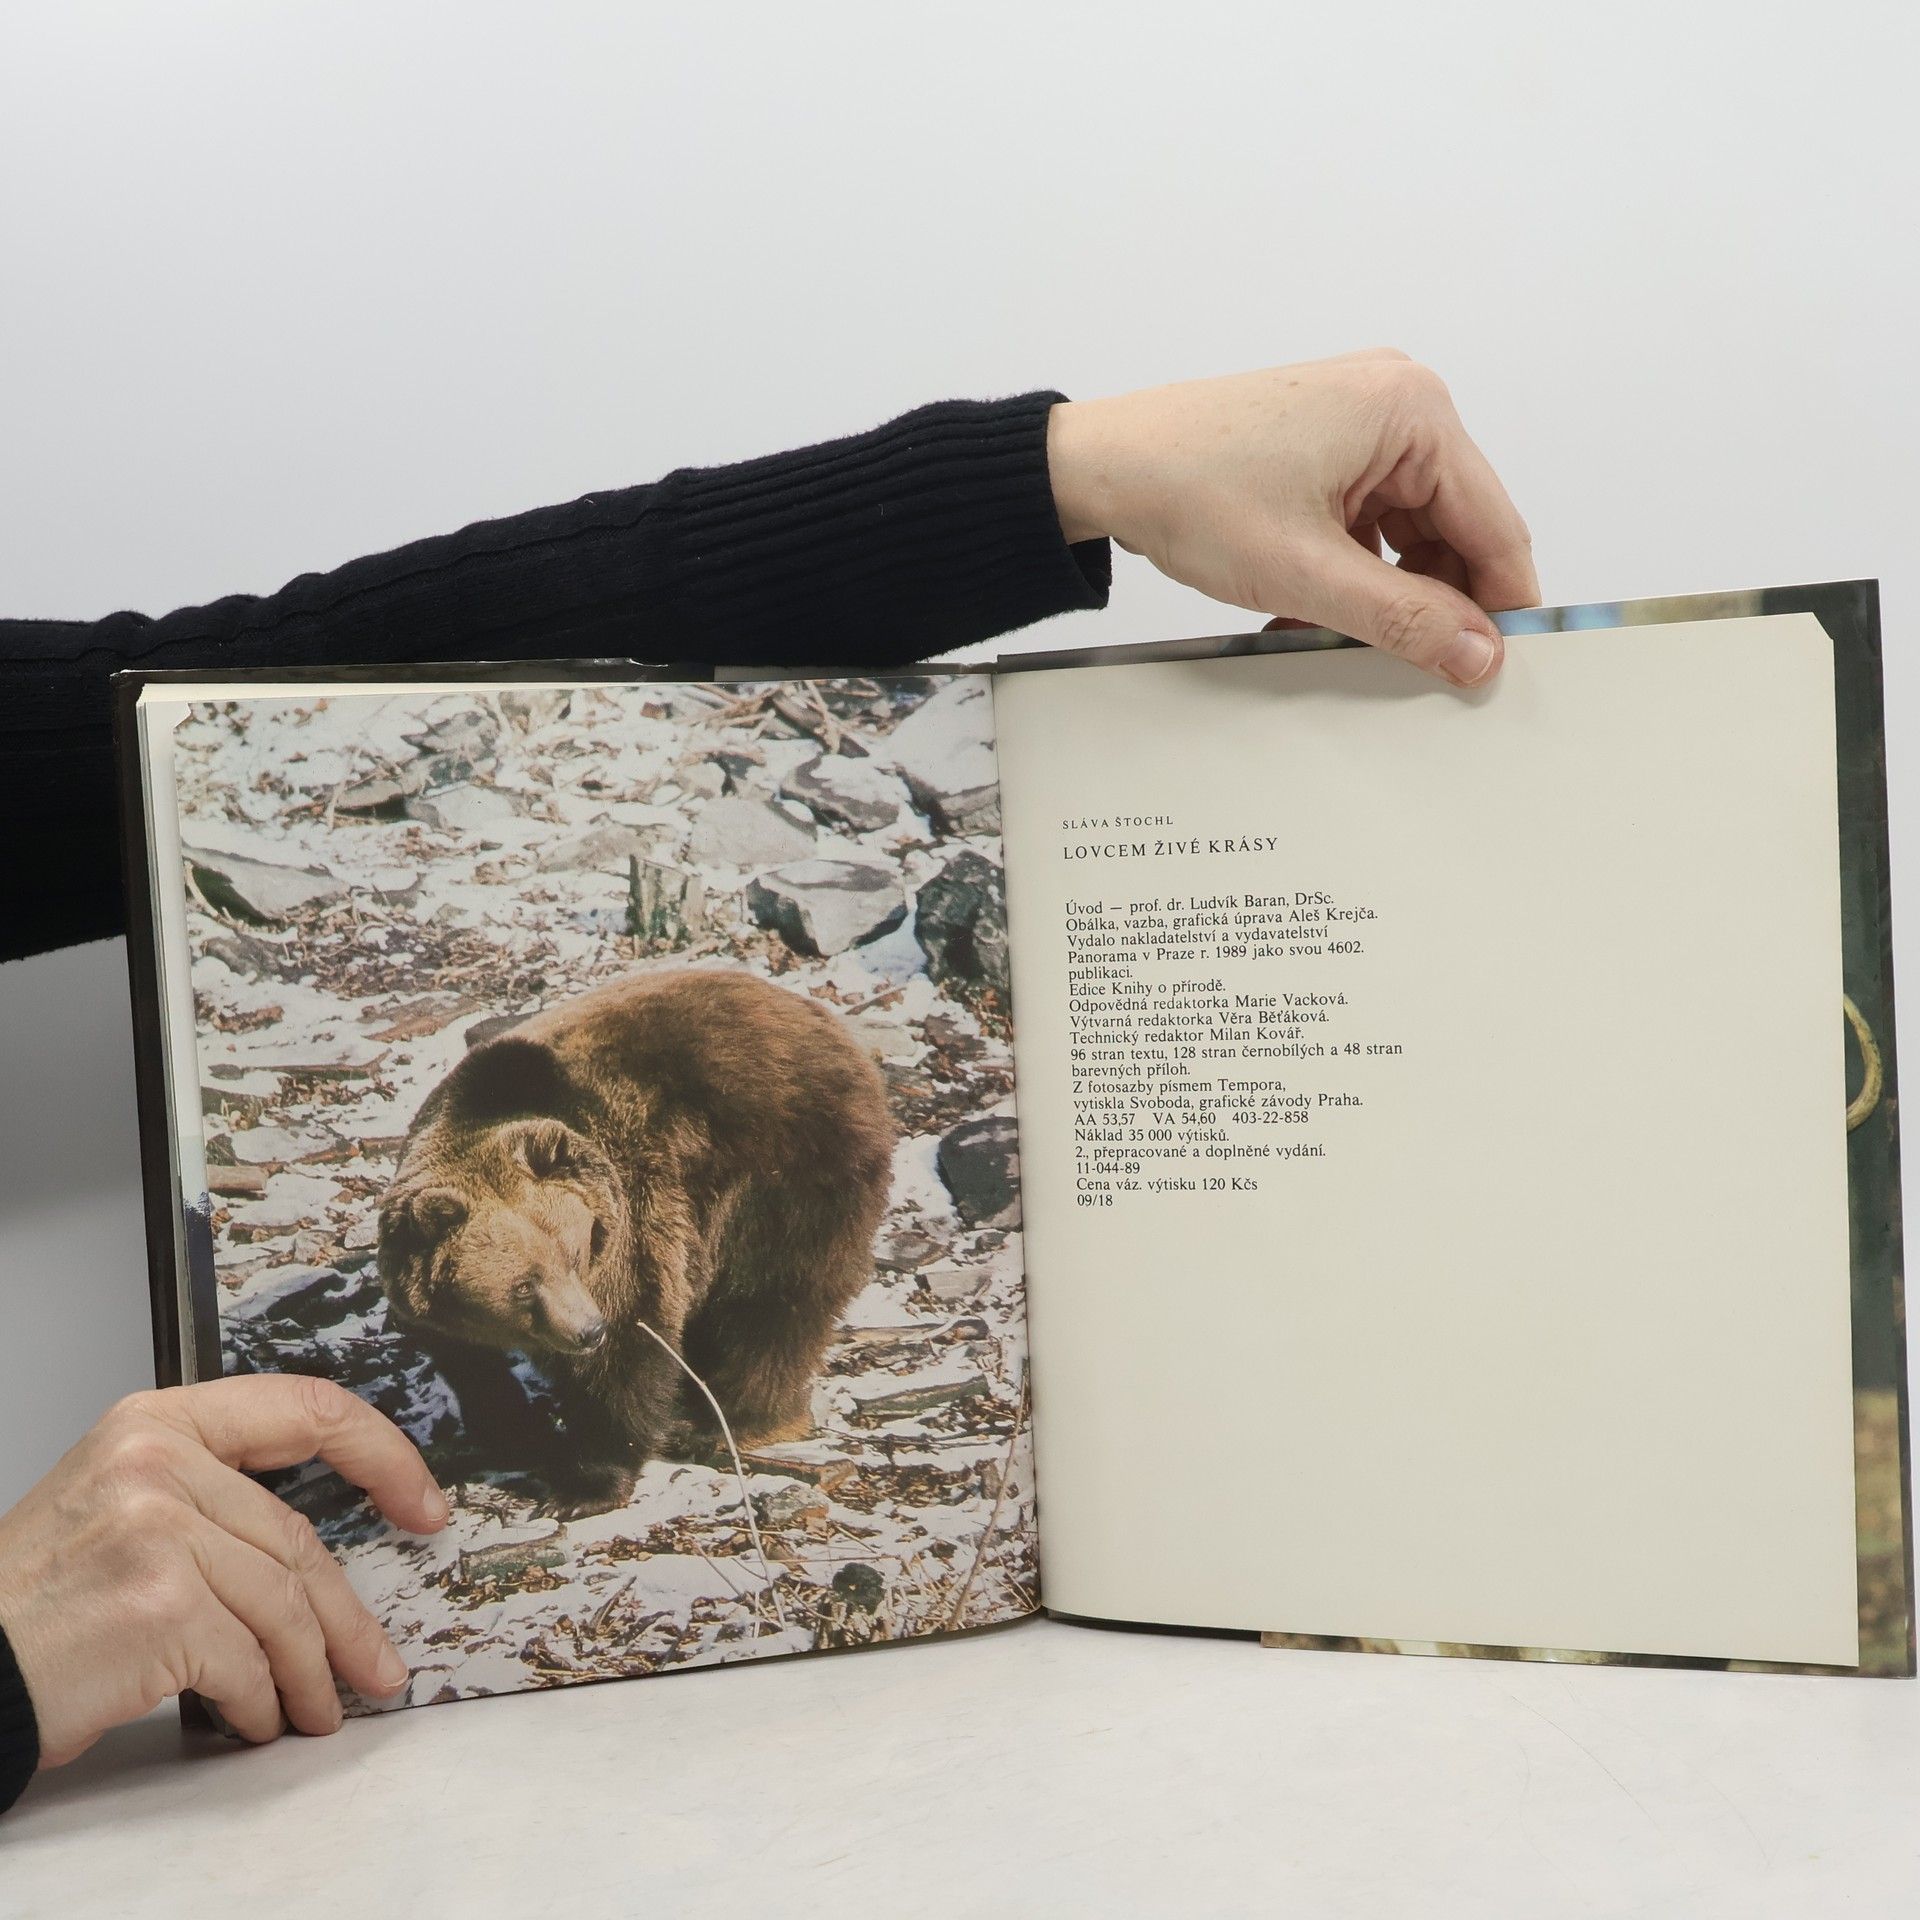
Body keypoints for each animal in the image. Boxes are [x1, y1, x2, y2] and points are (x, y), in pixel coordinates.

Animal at [376, 967, 896, 1516]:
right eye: (523, 1284)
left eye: (574, 1254)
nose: (587, 1331)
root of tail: (836, 1030)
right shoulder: (431, 1297)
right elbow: (472, 1368)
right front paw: (512, 1436)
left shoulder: (635, 1217)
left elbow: (629, 1348)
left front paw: (585, 1485)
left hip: (791, 1170)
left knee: (771, 1305)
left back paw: (727, 1419)